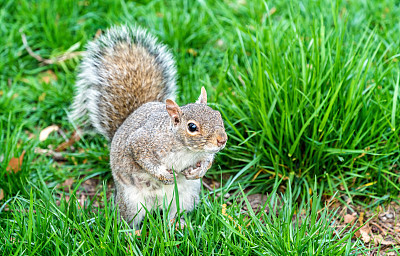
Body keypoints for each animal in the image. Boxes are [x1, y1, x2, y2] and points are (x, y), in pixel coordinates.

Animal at [71, 25, 227, 228]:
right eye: (192, 127)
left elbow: (207, 160)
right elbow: (143, 159)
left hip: (185, 198)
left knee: (172, 216)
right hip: (131, 202)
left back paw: (178, 225)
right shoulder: (143, 142)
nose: (222, 140)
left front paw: (198, 171)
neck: (186, 149)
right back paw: (131, 232)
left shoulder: (204, 154)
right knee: (128, 220)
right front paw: (163, 175)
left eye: (218, 115)